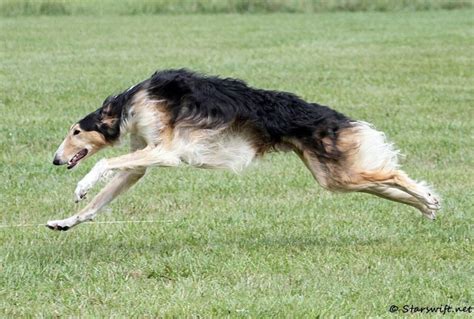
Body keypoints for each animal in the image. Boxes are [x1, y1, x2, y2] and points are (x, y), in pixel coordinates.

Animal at [47, 69, 440, 231]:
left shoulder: (168, 152)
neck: (130, 103)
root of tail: (335, 118)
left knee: (394, 173)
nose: (55, 159)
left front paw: (81, 187)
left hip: (339, 171)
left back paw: (426, 198)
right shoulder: (143, 159)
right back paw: (427, 205)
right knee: (386, 183)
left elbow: (106, 164)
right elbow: (100, 201)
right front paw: (64, 222)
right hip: (333, 175)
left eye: (75, 131)